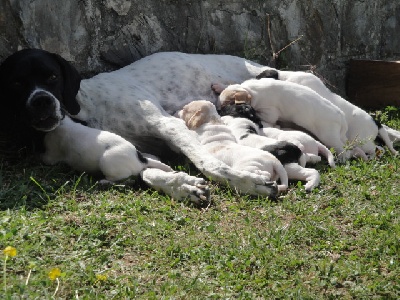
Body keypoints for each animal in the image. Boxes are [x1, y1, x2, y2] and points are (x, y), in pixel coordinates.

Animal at [43, 114, 174, 183]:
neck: (64, 122)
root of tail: (141, 160)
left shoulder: (51, 155)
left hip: (107, 162)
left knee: (121, 177)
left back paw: (104, 181)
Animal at [214, 78, 348, 162]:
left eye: (228, 105)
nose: (218, 109)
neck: (250, 91)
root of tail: (341, 115)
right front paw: (219, 87)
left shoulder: (269, 112)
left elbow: (264, 117)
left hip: (329, 135)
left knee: (342, 148)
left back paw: (343, 158)